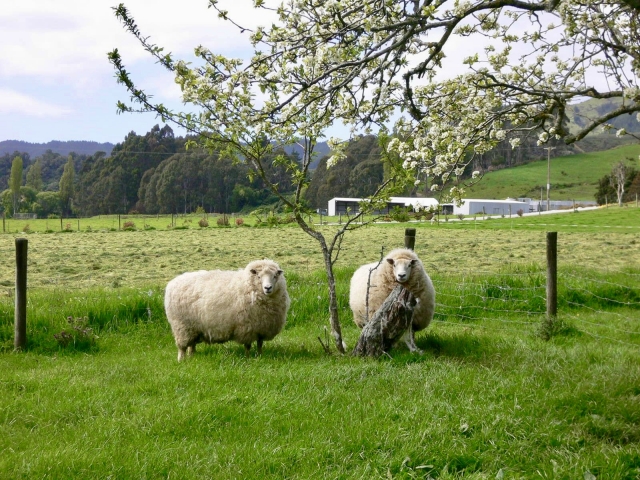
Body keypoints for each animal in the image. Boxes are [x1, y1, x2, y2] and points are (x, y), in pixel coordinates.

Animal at [162, 258, 290, 360]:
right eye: (259, 276)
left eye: (275, 276)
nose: (268, 288)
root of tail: (172, 283)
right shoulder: (247, 327)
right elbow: (248, 345)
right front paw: (248, 357)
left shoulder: (262, 328)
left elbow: (260, 344)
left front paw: (260, 356)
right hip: (181, 325)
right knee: (182, 347)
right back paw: (181, 360)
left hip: (194, 327)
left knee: (191, 344)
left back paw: (192, 356)